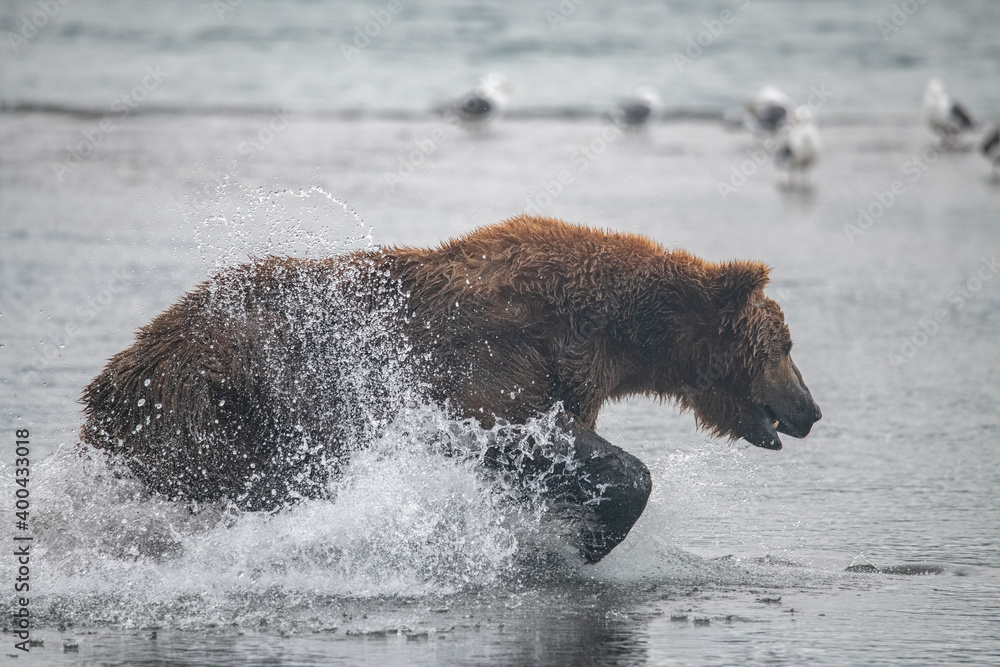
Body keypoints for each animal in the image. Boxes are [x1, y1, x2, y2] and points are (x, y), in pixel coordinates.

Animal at [81, 215, 821, 563]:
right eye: (785, 346)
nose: (812, 409)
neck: (606, 329)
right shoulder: (496, 357)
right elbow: (513, 432)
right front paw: (584, 536)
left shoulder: (569, 373)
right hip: (219, 396)